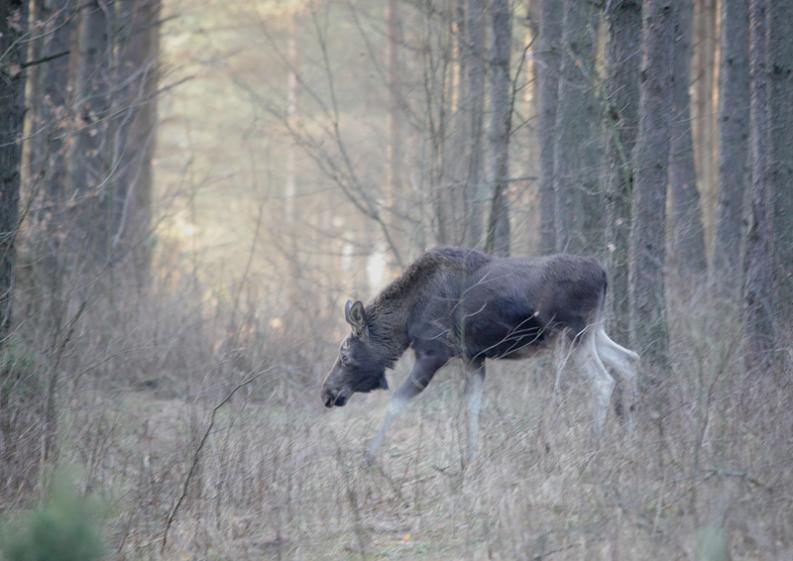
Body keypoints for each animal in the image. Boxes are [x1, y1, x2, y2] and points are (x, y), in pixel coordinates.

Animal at [320, 247, 636, 462]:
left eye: (345, 356)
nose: (327, 392)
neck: (405, 324)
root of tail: (603, 273)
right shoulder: (474, 357)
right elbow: (473, 405)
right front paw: (471, 457)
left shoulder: (433, 353)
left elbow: (397, 401)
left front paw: (369, 456)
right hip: (594, 331)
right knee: (629, 359)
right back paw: (630, 432)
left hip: (573, 333)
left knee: (603, 380)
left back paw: (596, 444)